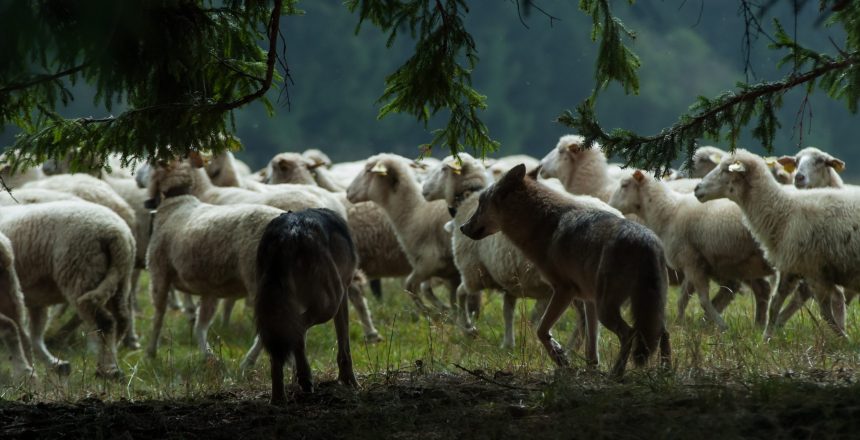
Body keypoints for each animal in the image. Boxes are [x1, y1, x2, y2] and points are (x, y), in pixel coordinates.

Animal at [692, 150, 860, 336]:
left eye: (725, 170)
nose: (697, 188)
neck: (783, 211)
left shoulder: (814, 270)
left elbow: (825, 312)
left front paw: (843, 336)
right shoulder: (792, 267)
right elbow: (776, 304)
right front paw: (767, 337)